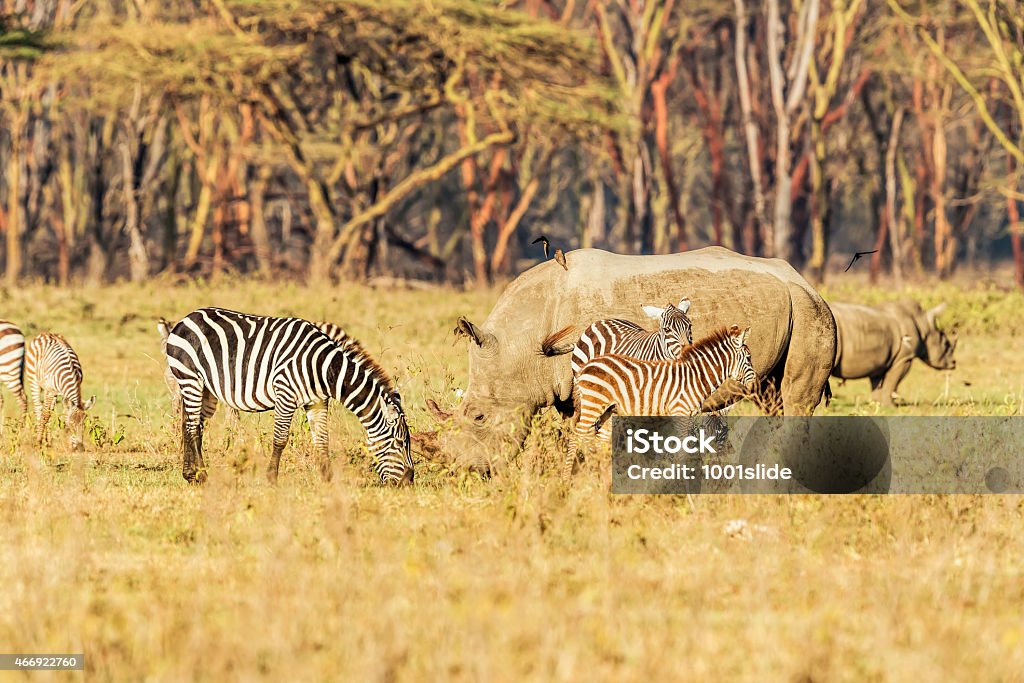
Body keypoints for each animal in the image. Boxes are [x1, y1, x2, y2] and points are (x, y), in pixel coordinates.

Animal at [163, 309, 411, 485]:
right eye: (400, 443)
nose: (409, 481)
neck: (325, 368)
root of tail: (187, 318)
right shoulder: (285, 394)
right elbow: (280, 439)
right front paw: (271, 478)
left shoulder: (317, 401)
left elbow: (322, 440)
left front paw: (328, 480)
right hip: (190, 378)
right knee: (191, 427)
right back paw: (199, 477)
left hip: (207, 390)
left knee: (193, 425)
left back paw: (194, 474)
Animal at [565, 325, 757, 481]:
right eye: (748, 358)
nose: (755, 386)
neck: (696, 378)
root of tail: (586, 366)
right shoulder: (680, 413)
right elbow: (682, 449)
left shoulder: (690, 416)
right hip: (593, 404)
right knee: (578, 435)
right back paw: (571, 480)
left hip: (609, 410)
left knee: (599, 440)